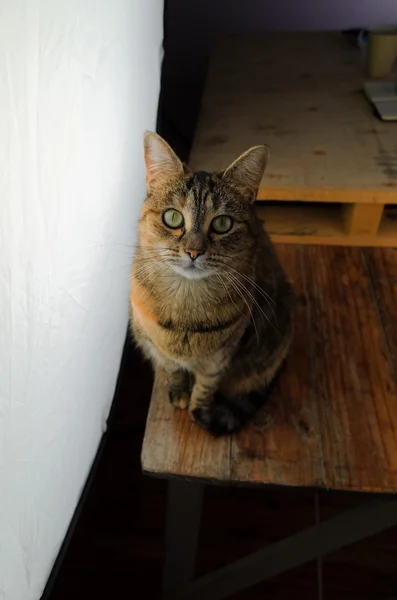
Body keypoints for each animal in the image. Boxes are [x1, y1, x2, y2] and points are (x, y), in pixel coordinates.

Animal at [130, 131, 294, 436]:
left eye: (222, 224)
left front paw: (198, 409)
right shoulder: (158, 347)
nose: (194, 251)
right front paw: (179, 392)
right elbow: (173, 370)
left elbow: (206, 387)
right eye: (172, 217)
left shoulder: (220, 359)